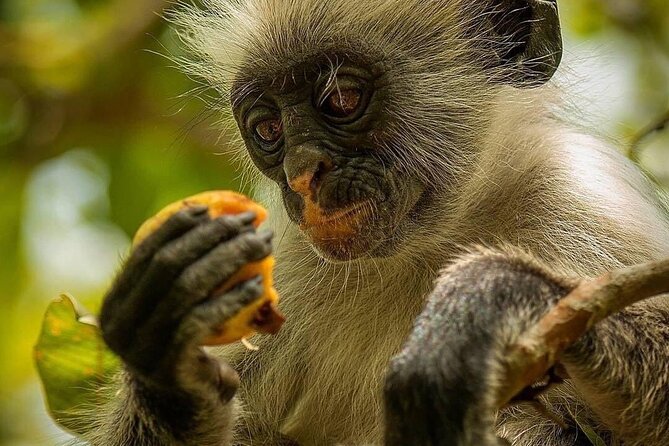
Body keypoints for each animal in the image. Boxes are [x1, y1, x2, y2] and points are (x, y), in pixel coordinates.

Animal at [91, 0, 669, 445]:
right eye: (268, 129)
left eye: (340, 99)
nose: (302, 173)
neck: (436, 239)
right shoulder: (296, 256)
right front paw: (167, 362)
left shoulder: (582, 197)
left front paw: (486, 297)